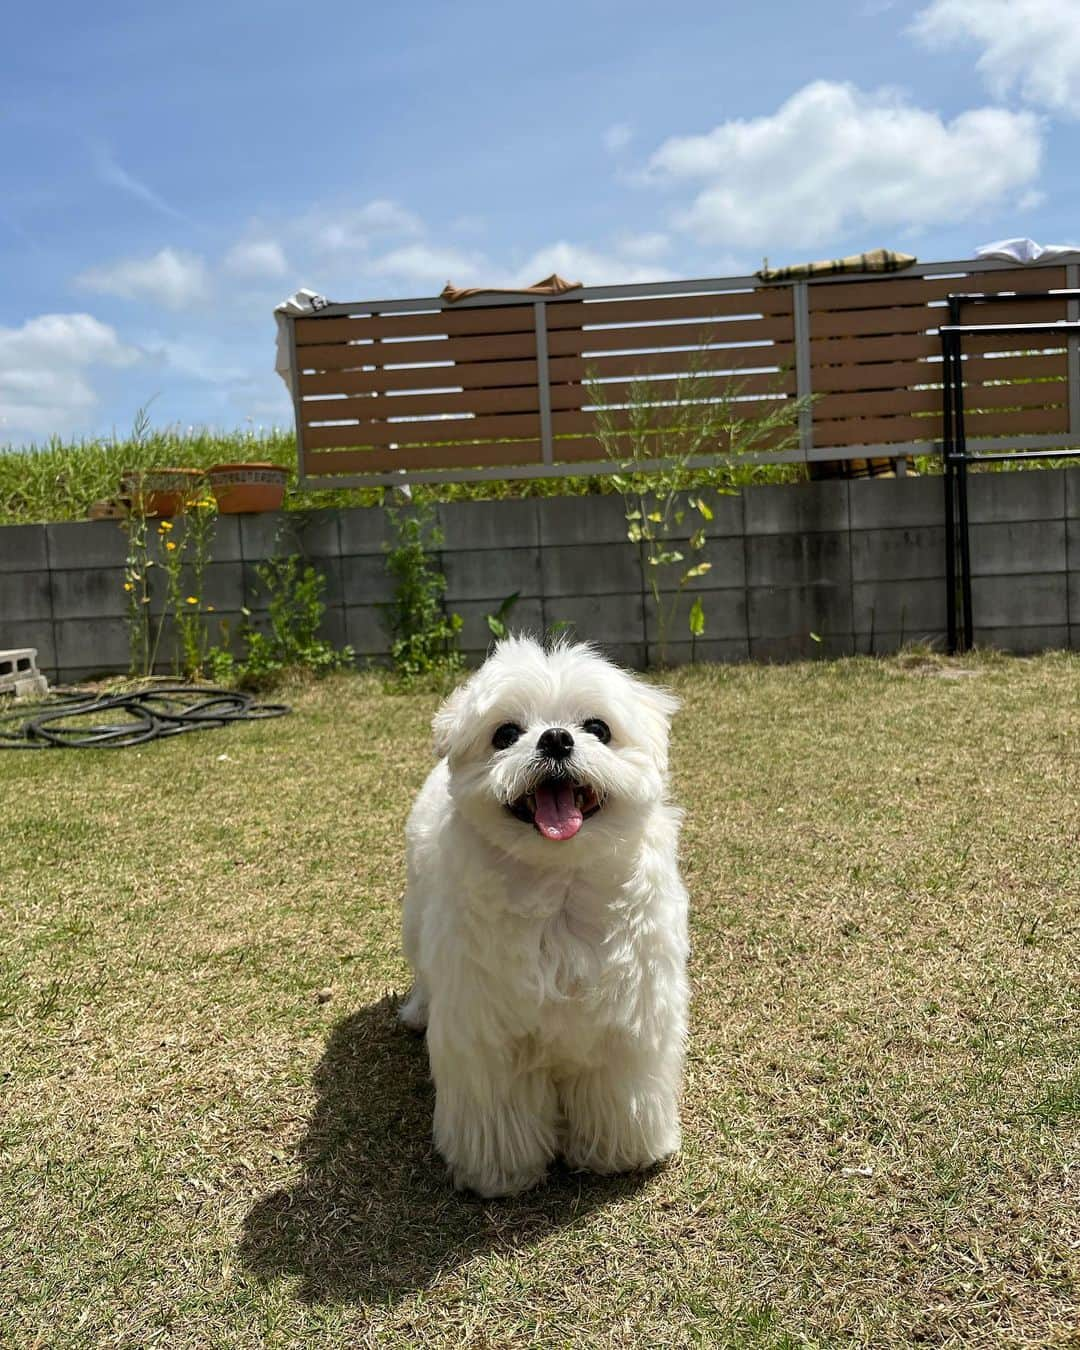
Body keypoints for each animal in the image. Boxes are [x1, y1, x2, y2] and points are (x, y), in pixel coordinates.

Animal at [399, 637, 691, 1198]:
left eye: (597, 727)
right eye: (505, 734)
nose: (556, 738)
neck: (558, 886)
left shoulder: (626, 1017)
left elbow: (614, 1088)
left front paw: (618, 1153)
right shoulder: (486, 1031)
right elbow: (499, 1107)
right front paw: (498, 1172)